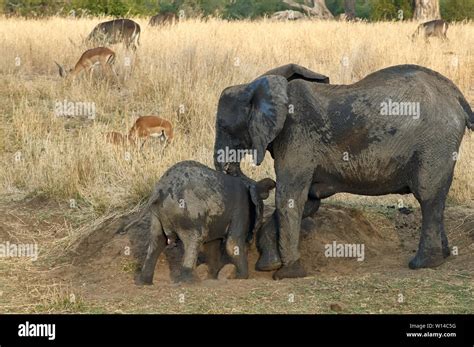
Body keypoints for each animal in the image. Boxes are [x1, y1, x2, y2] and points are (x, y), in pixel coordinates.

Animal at [120, 161, 276, 286]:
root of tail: (158, 190)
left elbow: (212, 245)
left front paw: (212, 277)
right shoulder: (241, 210)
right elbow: (232, 244)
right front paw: (240, 277)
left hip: (157, 214)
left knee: (157, 241)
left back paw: (144, 283)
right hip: (186, 212)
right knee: (194, 240)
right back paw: (191, 282)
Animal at [215, 62, 474, 280]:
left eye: (223, 126)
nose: (265, 182)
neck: (258, 85)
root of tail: (458, 97)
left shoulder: (297, 134)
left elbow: (289, 197)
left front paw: (287, 274)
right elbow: (307, 200)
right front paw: (269, 265)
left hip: (434, 142)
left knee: (427, 195)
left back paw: (422, 264)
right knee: (437, 197)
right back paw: (443, 257)